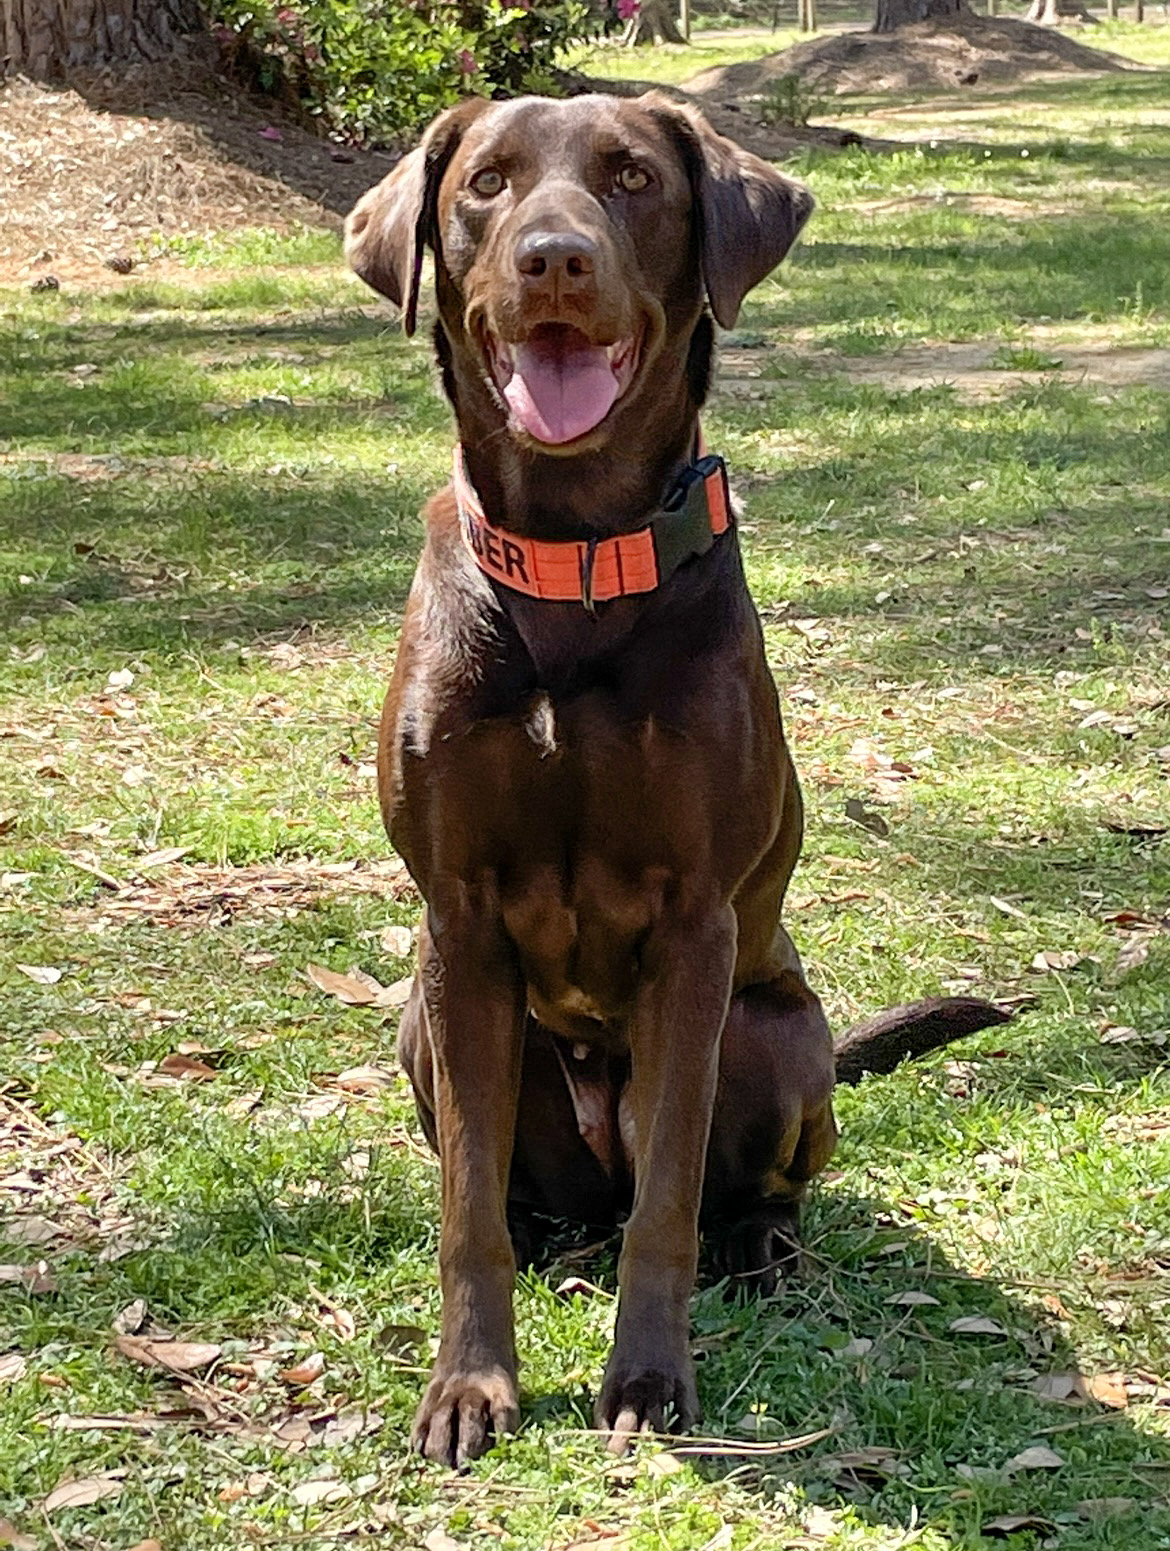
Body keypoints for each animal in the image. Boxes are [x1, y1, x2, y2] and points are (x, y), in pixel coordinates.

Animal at [344, 93, 1005, 1464]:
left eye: (634, 178)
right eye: (485, 183)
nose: (553, 260)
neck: (573, 557)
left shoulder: (695, 928)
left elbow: (668, 1206)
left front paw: (648, 1377)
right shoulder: (458, 924)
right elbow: (464, 1208)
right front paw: (469, 1384)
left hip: (775, 1033)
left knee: (714, 1187)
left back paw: (761, 1253)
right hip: (425, 1024)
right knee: (526, 1192)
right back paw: (551, 1240)